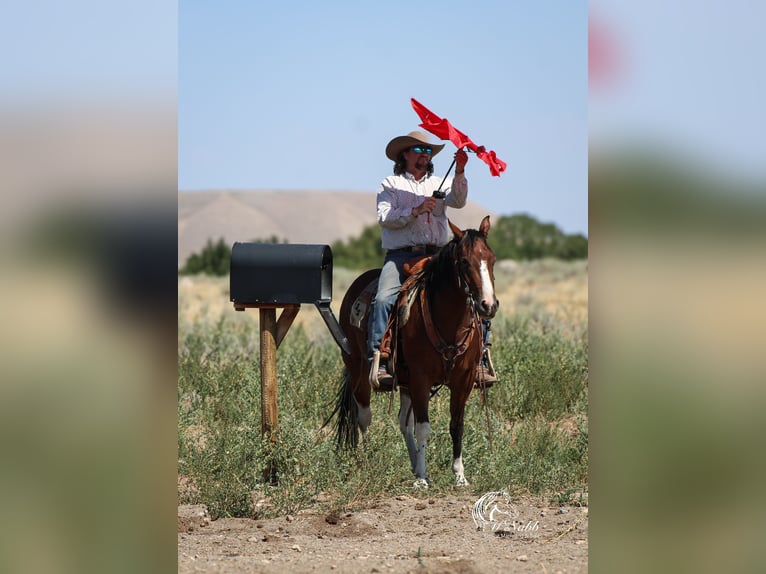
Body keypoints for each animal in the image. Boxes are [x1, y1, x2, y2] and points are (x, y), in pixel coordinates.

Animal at [328, 216, 499, 487]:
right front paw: (422, 479)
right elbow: (423, 427)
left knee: (403, 422)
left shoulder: (464, 380)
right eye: (464, 261)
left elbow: (456, 425)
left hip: (405, 381)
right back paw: (366, 460)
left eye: (492, 259)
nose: (488, 305)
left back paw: (414, 464)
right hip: (357, 369)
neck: (448, 323)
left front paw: (459, 475)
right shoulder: (421, 378)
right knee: (364, 415)